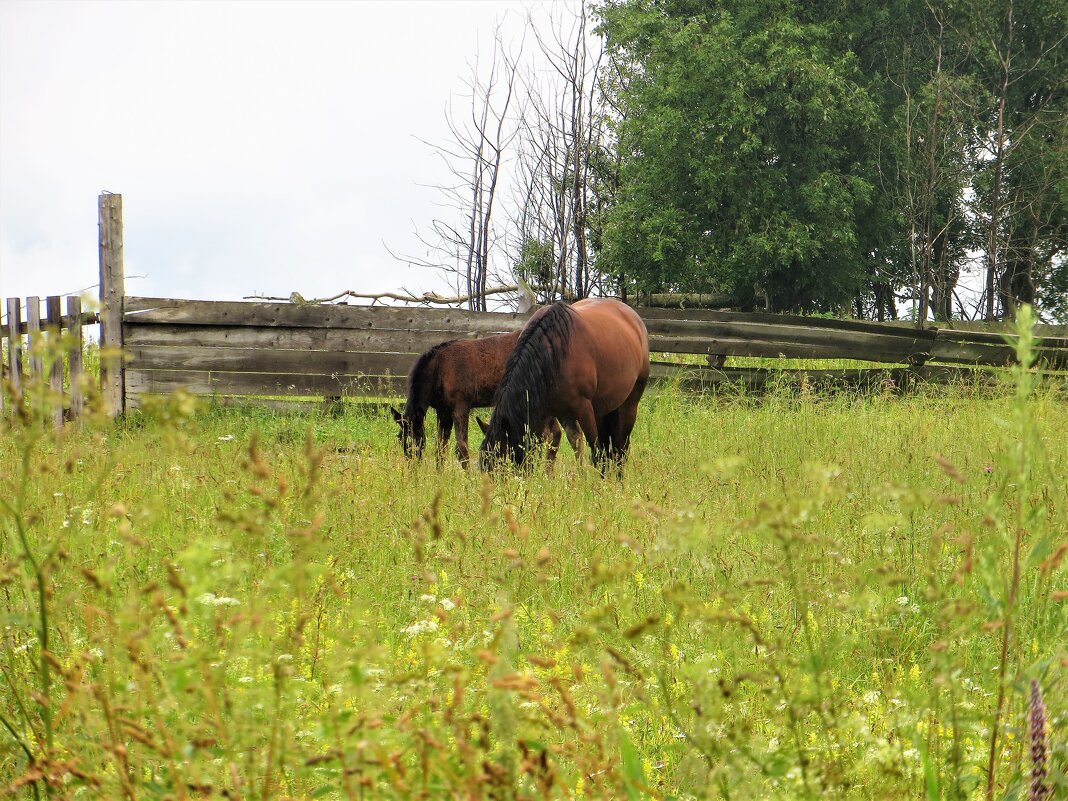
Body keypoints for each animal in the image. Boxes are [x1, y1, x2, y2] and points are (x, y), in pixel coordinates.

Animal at [390, 333, 580, 467]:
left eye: (416, 436)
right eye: (401, 440)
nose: (412, 465)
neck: (439, 370)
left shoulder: (461, 406)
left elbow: (461, 448)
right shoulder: (443, 411)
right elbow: (440, 448)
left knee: (551, 434)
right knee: (564, 435)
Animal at [478, 301, 645, 476]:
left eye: (501, 463)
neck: (551, 356)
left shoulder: (584, 410)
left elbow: (595, 451)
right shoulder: (552, 413)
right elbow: (572, 443)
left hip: (630, 403)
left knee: (621, 445)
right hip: (604, 408)